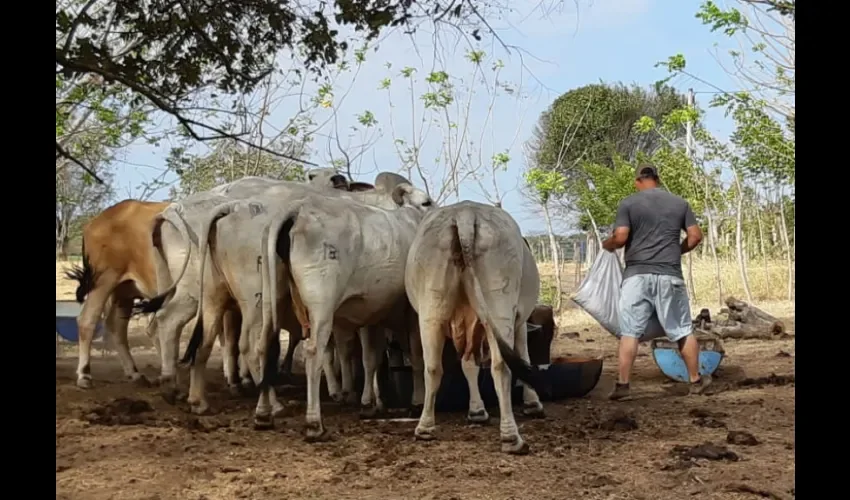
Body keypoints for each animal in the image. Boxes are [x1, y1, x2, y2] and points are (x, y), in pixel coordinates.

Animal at [402, 199, 544, 454]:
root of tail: (465, 214)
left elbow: (468, 364)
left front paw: (476, 410)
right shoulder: (519, 319)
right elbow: (523, 355)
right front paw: (533, 402)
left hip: (430, 310)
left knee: (432, 367)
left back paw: (424, 428)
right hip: (500, 306)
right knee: (502, 366)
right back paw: (511, 438)